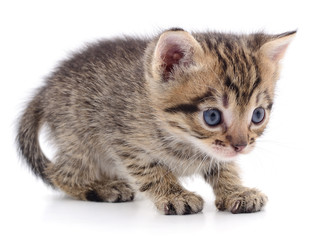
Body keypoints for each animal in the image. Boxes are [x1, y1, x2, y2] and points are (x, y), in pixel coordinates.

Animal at [16, 28, 296, 216]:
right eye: (212, 116)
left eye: (257, 115)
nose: (241, 146)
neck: (184, 139)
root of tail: (45, 89)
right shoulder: (123, 138)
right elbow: (151, 170)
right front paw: (175, 195)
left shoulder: (218, 152)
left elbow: (224, 167)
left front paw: (235, 191)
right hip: (79, 140)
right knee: (59, 173)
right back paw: (102, 188)